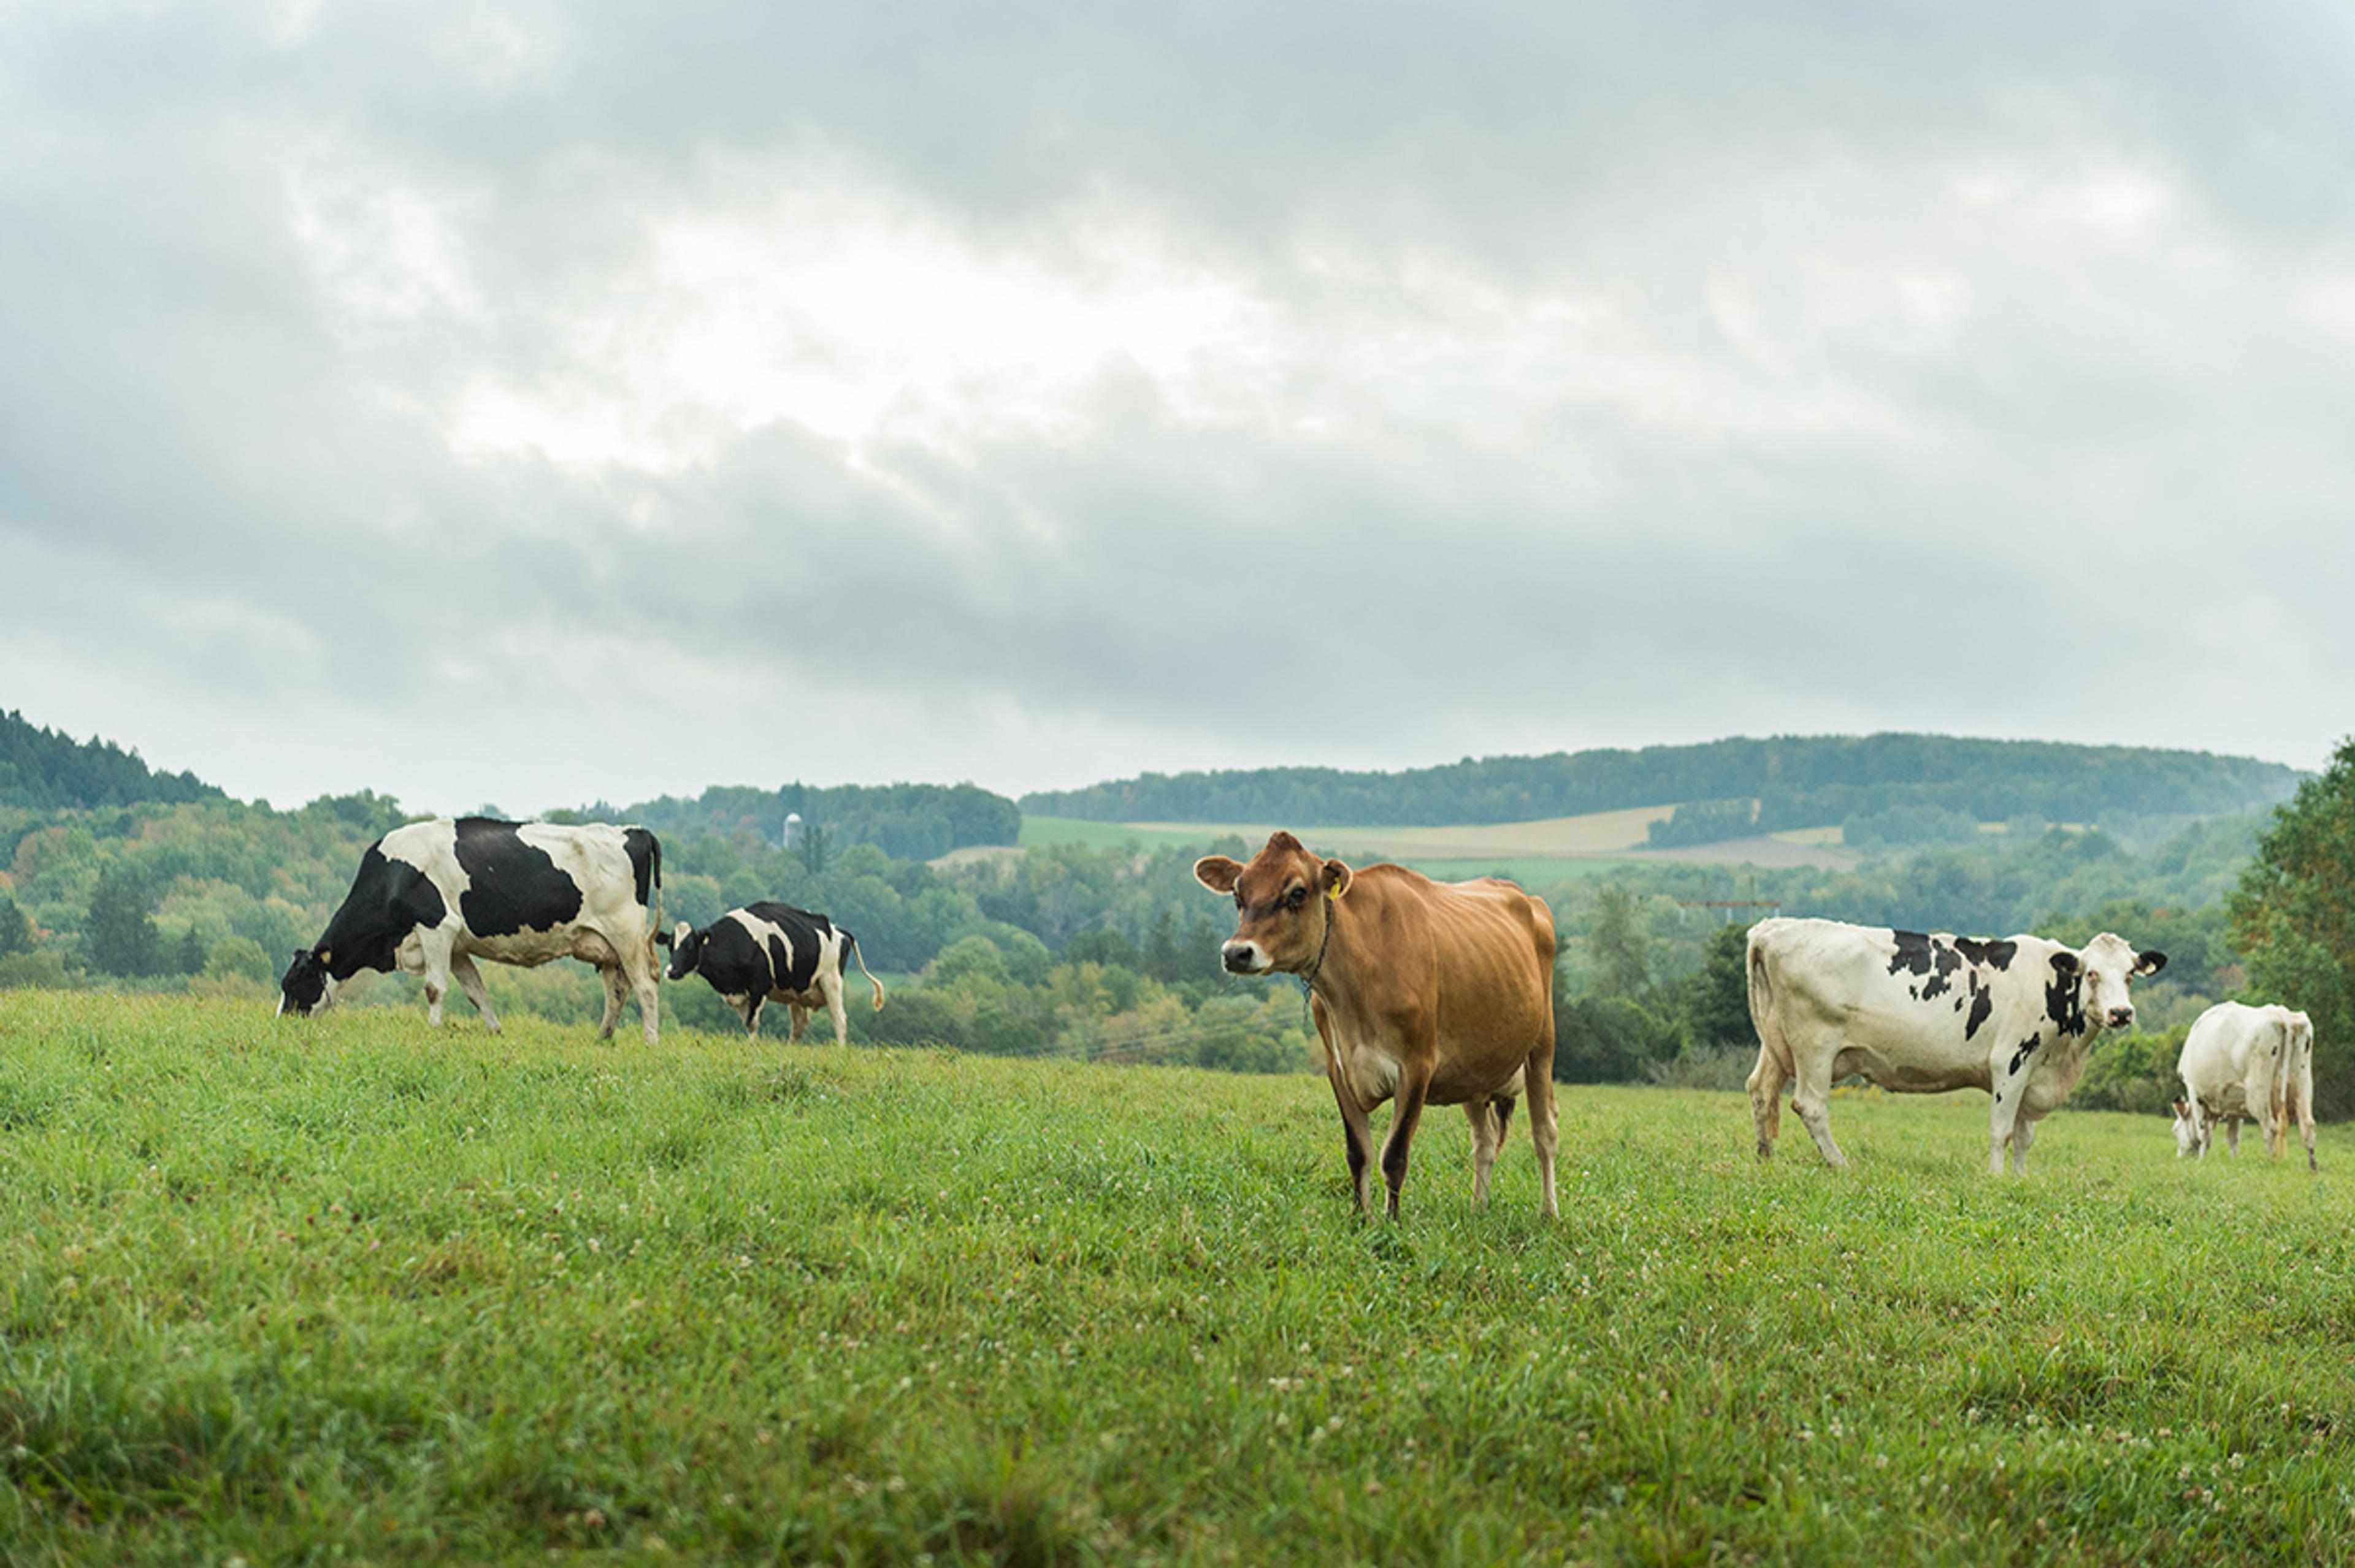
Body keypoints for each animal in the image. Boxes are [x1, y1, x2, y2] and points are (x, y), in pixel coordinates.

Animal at [279, 817, 664, 1044]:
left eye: (295, 982)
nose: (282, 1023)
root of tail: (635, 830)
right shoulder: (456, 946)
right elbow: (476, 991)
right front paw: (494, 1031)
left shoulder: (436, 926)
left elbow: (434, 988)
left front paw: (432, 1030)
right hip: (605, 944)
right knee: (617, 990)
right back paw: (603, 1037)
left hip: (626, 933)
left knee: (645, 986)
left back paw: (650, 1041)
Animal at [660, 902, 885, 1043]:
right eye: (670, 946)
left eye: (690, 945)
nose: (672, 971)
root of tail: (837, 930)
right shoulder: (738, 994)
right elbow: (747, 1023)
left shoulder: (760, 986)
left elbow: (752, 1023)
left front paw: (752, 1048)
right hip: (798, 991)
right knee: (799, 1026)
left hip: (831, 980)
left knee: (839, 1019)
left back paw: (840, 1049)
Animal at [1194, 831, 1558, 1220]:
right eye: (1238, 894)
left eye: (1297, 892)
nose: (1236, 953)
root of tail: (1525, 897)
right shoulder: (1339, 1067)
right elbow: (1359, 1153)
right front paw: (1360, 1219)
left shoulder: (1416, 1066)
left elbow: (1394, 1156)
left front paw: (1392, 1223)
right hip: (1474, 1071)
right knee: (1485, 1141)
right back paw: (1478, 1208)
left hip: (1542, 1047)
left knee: (1545, 1134)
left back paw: (1549, 1213)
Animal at [1746, 917, 2166, 1174]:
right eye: (2091, 973)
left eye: (2130, 974)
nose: (2121, 1013)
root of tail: (1774, 928)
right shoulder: (2011, 1062)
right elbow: (2002, 1130)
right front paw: (1997, 1178)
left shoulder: (2035, 1074)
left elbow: (2025, 1137)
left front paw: (2021, 1178)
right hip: (1815, 1045)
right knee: (1810, 1106)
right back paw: (1841, 1165)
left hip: (1776, 1042)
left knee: (1761, 1090)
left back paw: (1766, 1158)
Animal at [2172, 1002, 2318, 1170]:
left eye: (2175, 1130)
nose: (2180, 1157)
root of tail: (2283, 1015)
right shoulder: (2235, 1104)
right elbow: (2232, 1137)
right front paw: (2233, 1161)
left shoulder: (2195, 1092)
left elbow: (2204, 1134)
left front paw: (2201, 1161)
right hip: (2303, 1083)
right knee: (2308, 1125)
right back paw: (2313, 1168)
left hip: (2258, 1092)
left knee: (2271, 1128)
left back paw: (2271, 1163)